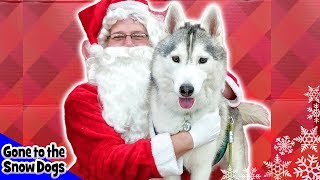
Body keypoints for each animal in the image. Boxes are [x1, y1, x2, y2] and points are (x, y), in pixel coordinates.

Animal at [151, 2, 270, 180]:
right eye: (176, 59)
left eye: (202, 60)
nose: (186, 89)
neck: (187, 121)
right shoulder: (171, 164)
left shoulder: (202, 166)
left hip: (235, 162)